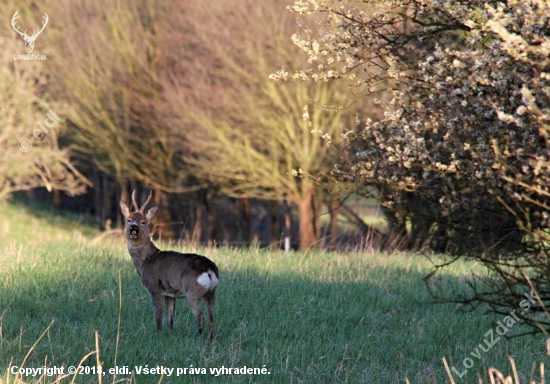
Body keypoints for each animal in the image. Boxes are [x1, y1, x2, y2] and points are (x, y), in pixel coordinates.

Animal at [121, 190, 220, 340]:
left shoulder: (154, 288)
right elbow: (170, 319)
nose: (134, 228)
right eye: (129, 220)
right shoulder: (170, 294)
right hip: (211, 293)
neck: (145, 261)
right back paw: (210, 340)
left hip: (192, 292)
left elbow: (158, 316)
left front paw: (156, 335)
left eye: (143, 221)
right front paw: (171, 336)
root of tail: (209, 269)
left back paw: (200, 339)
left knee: (201, 317)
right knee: (211, 318)